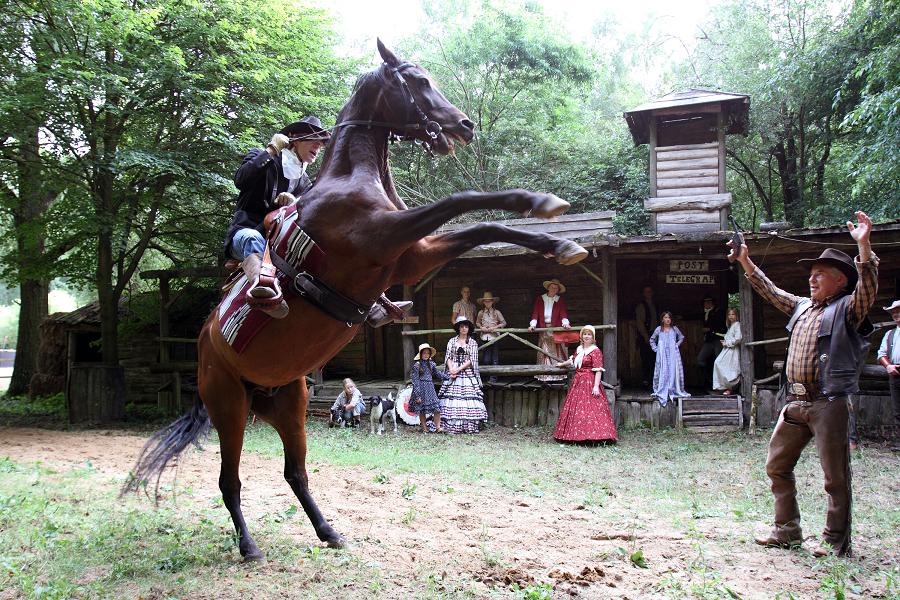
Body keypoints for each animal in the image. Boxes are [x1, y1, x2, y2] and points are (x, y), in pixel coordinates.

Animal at [128, 42, 592, 564]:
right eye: (417, 80)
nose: (464, 125)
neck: (351, 178)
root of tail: (206, 347)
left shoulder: (412, 254)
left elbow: (480, 225)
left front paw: (558, 238)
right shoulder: (384, 238)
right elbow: (462, 199)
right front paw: (542, 204)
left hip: (288, 403)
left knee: (295, 472)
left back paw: (329, 532)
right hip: (229, 406)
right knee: (231, 481)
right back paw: (249, 546)